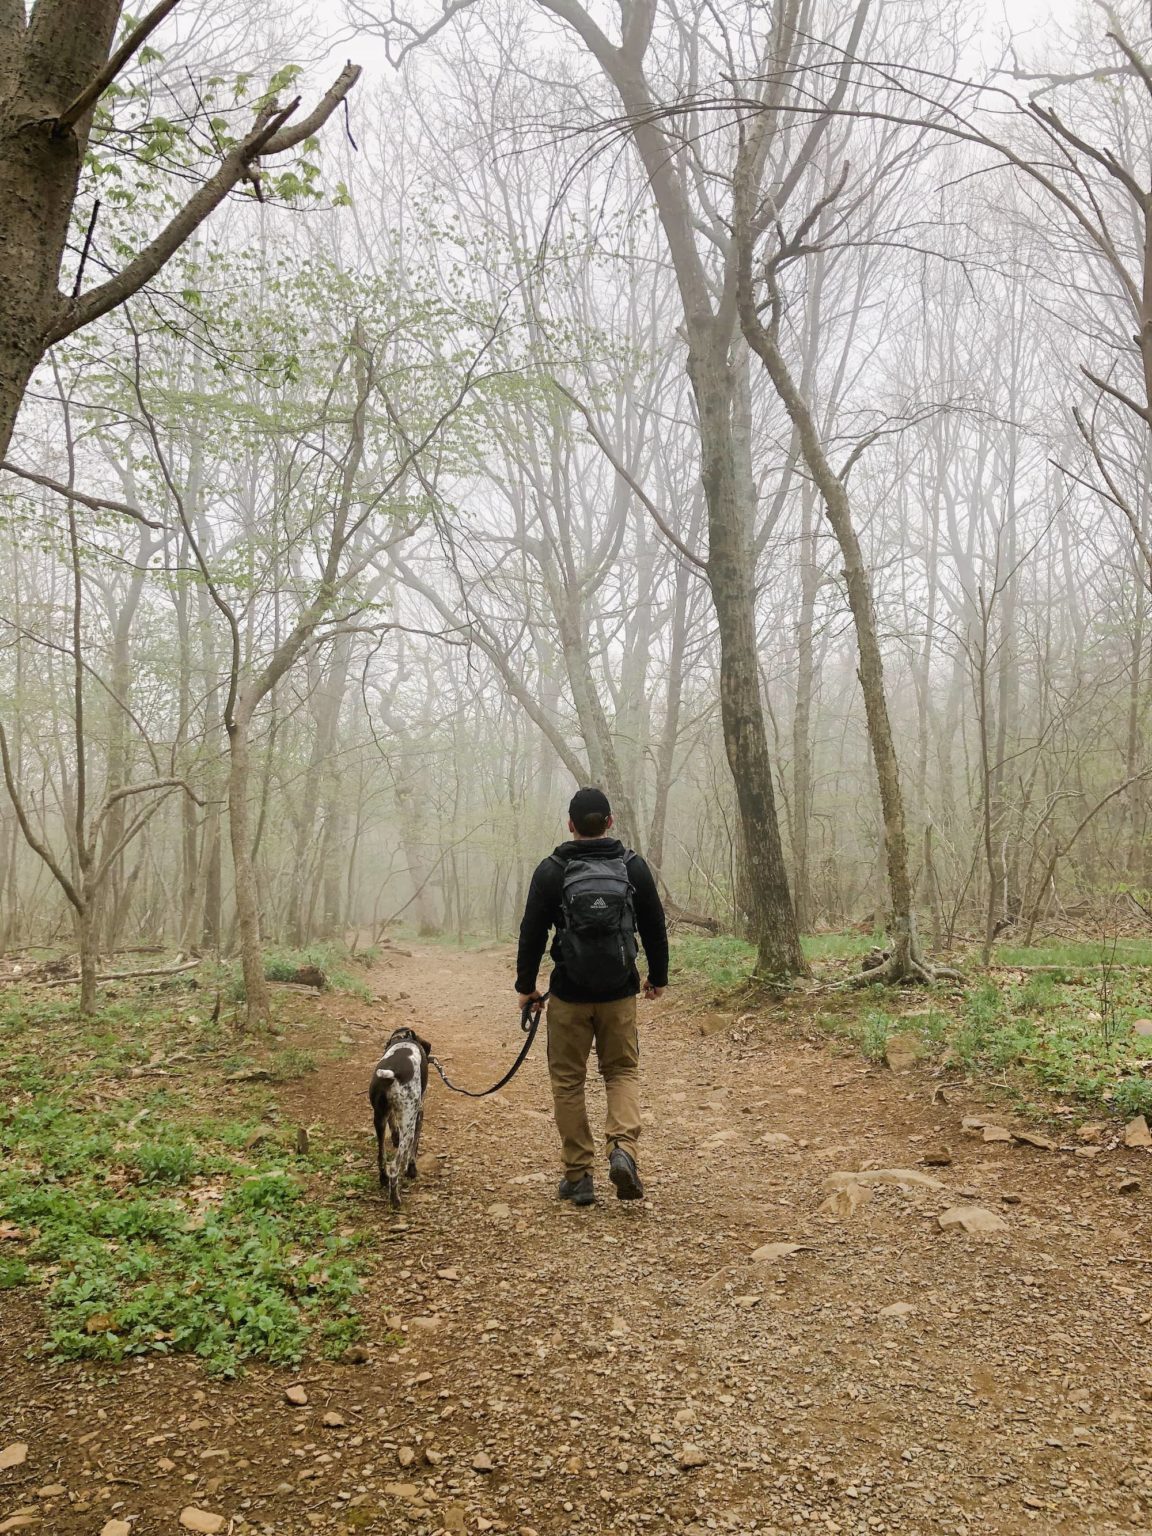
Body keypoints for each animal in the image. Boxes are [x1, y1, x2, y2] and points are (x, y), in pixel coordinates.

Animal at [371, 1026, 436, 1204]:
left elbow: (392, 1125)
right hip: (408, 1126)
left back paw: (383, 1180)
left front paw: (394, 1137)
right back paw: (395, 1200)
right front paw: (411, 1170)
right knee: (394, 1167)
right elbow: (414, 1150)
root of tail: (392, 1074)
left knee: (381, 1157)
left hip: (378, 1120)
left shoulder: (388, 1114)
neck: (404, 1039)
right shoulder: (419, 1115)